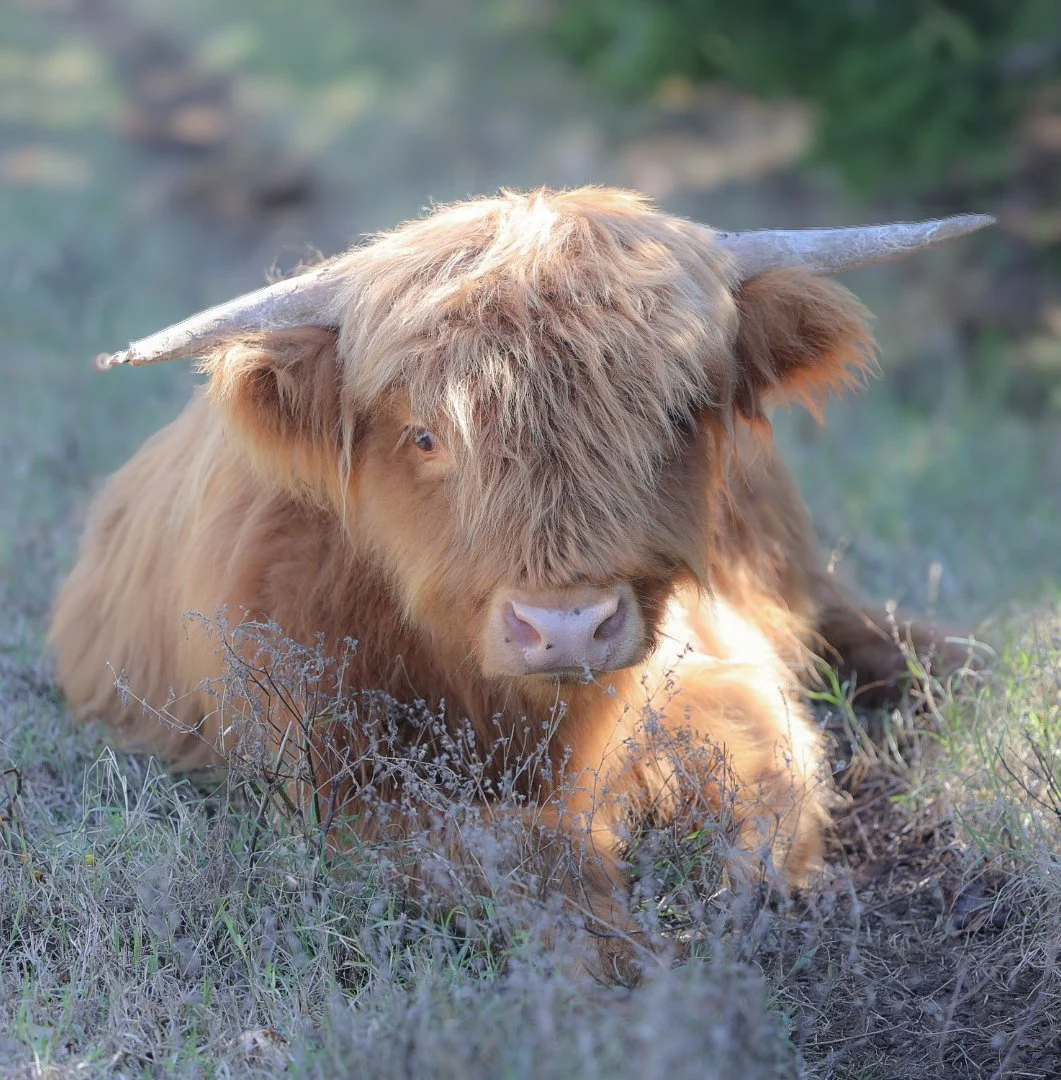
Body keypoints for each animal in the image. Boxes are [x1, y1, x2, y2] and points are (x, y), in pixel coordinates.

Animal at [50, 187, 991, 980]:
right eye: (424, 436)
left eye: (675, 416)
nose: (566, 627)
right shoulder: (338, 789)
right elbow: (525, 855)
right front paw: (625, 964)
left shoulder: (709, 668)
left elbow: (770, 764)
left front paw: (745, 889)